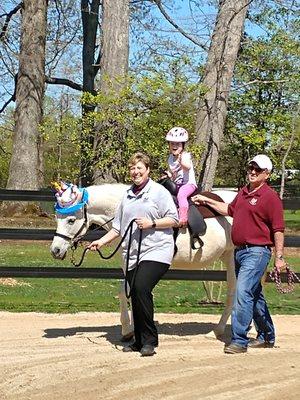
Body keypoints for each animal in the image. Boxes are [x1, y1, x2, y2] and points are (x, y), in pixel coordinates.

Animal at [50, 184, 238, 340]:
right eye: (57, 218)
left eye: (71, 220)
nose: (55, 250)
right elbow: (126, 291)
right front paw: (131, 329)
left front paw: (128, 330)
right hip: (228, 256)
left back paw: (218, 331)